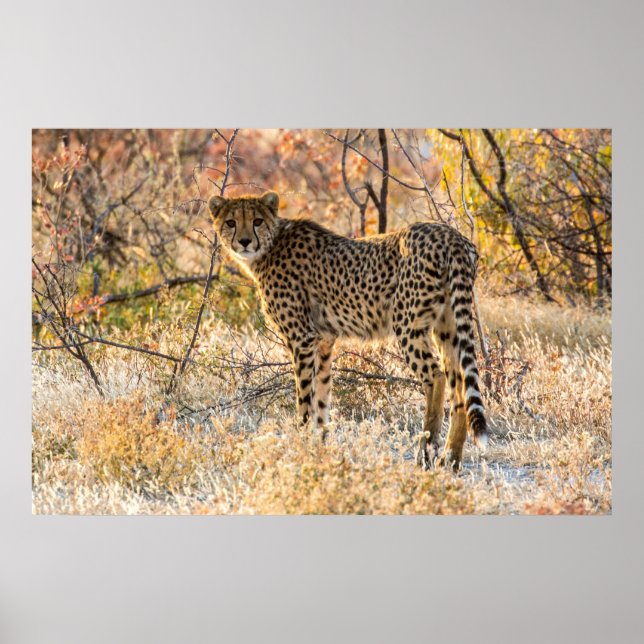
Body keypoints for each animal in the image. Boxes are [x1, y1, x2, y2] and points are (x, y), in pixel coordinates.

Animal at [209, 190, 488, 469]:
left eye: (257, 221)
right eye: (231, 222)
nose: (245, 241)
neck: (271, 244)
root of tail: (449, 235)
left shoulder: (302, 339)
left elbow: (304, 399)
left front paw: (301, 444)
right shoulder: (323, 340)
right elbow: (321, 396)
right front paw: (320, 448)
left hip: (407, 324)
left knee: (436, 377)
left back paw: (426, 452)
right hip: (447, 325)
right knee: (459, 385)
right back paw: (451, 459)